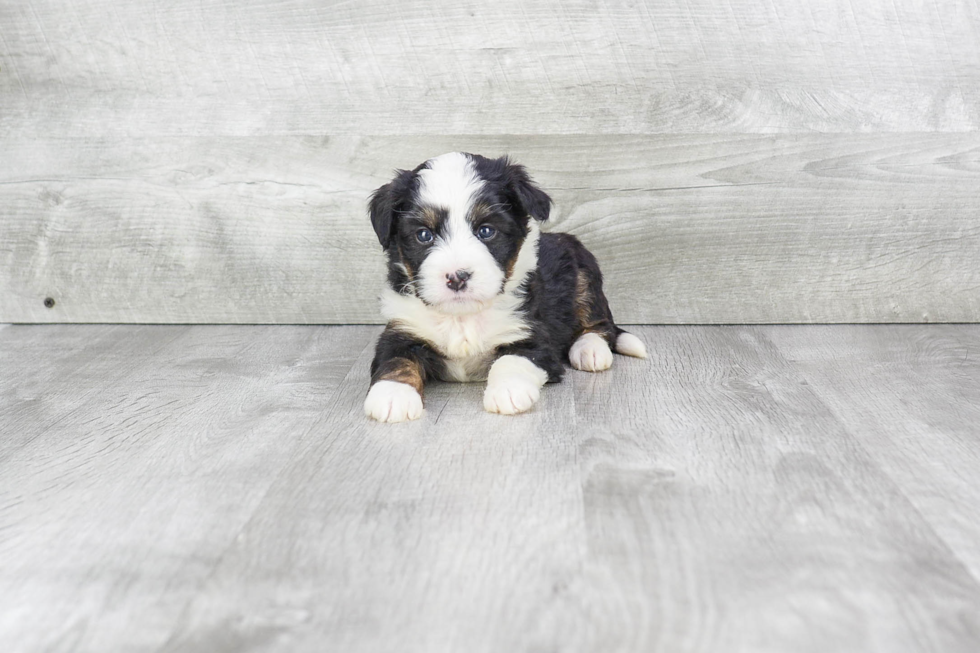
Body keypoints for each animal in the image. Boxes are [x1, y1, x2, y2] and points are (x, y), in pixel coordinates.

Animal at [364, 152, 648, 422]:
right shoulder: (402, 329)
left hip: (584, 273)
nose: (457, 277)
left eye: (486, 231)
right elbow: (396, 360)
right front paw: (392, 396)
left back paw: (590, 350)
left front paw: (509, 392)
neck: (462, 318)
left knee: (599, 324)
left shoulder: (530, 334)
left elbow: (512, 360)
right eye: (424, 235)